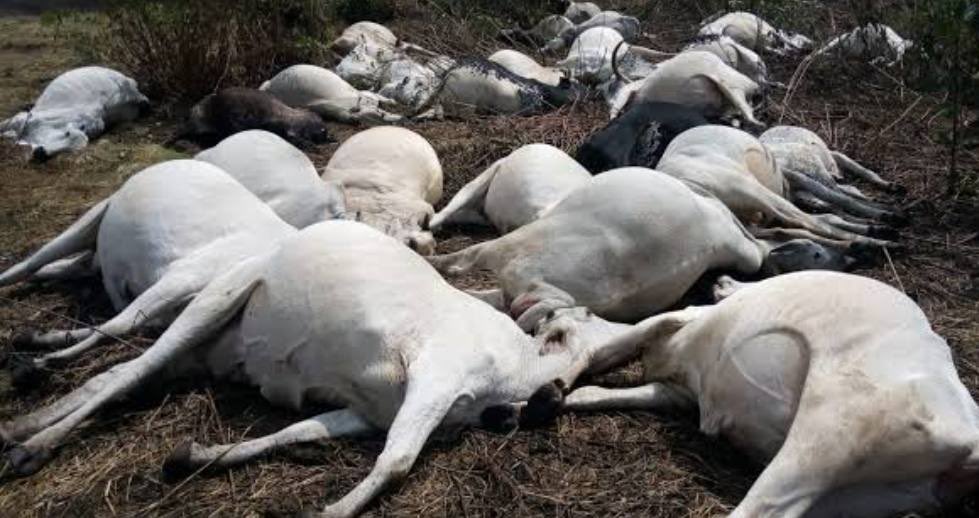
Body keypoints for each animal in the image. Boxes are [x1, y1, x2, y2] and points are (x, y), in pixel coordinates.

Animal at [0, 160, 298, 384]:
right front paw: (43, 361)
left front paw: (40, 349)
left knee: (74, 269)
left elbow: (124, 324)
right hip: (92, 218)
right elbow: (116, 325)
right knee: (31, 263)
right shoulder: (181, 277)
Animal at [0, 220, 641, 518]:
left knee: (116, 372)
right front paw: (330, 508)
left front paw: (196, 455)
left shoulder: (366, 410)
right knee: (131, 365)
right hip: (214, 302)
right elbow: (397, 461)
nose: (554, 393)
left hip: (205, 351)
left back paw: (22, 422)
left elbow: (294, 432)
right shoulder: (434, 376)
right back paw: (32, 443)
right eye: (571, 328)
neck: (511, 367)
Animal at [559, 271, 979, 518]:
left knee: (759, 508)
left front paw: (552, 389)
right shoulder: (679, 391)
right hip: (862, 498)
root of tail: (970, 439)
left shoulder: (684, 317)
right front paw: (570, 397)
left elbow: (611, 346)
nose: (721, 280)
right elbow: (612, 389)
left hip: (832, 435)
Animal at [656, 125, 895, 246]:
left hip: (753, 215)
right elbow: (838, 198)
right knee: (810, 221)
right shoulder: (798, 178)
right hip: (753, 190)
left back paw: (861, 243)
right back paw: (880, 238)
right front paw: (884, 211)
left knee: (795, 227)